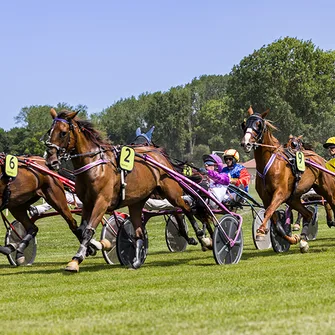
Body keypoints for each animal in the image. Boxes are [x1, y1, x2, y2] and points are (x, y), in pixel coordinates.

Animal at [45, 109, 207, 272]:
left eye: (63, 133)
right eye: (49, 131)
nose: (50, 161)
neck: (95, 165)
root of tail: (158, 154)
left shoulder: (102, 202)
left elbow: (88, 230)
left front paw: (77, 259)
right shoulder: (87, 203)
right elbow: (81, 229)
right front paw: (91, 249)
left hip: (171, 193)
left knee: (186, 208)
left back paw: (202, 237)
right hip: (137, 202)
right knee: (139, 231)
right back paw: (136, 260)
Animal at [242, 107, 335, 252]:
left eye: (258, 124)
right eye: (244, 124)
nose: (246, 143)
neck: (270, 164)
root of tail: (320, 159)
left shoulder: (280, 193)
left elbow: (268, 212)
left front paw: (261, 231)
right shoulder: (267, 198)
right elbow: (275, 222)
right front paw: (292, 239)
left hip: (326, 190)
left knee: (330, 202)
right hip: (294, 198)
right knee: (308, 214)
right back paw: (303, 241)